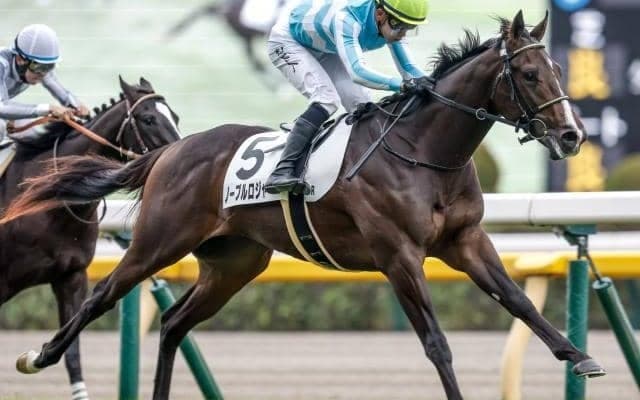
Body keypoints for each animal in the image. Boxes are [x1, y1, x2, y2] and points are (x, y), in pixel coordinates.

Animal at [0, 77, 180, 400]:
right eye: (148, 119)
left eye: (176, 116)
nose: (180, 156)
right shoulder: (3, 280)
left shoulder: (71, 276)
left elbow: (72, 352)